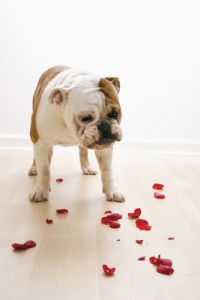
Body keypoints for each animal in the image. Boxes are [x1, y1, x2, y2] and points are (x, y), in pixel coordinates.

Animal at [28, 65, 124, 202]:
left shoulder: (105, 148)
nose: (105, 126)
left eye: (115, 113)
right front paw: (40, 191)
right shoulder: (41, 143)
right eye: (86, 118)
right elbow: (44, 170)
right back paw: (34, 168)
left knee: (83, 151)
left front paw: (112, 191)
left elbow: (107, 171)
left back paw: (87, 167)